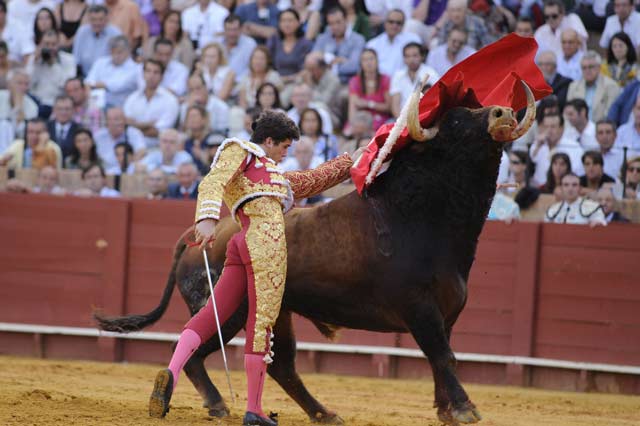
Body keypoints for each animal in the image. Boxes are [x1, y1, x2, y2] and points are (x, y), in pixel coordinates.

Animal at [95, 79, 536, 422]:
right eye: (457, 122)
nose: (502, 113)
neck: (417, 215)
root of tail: (198, 236)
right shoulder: (420, 309)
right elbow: (443, 356)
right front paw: (464, 409)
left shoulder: (446, 315)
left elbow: (439, 357)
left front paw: (446, 409)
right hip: (230, 307)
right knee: (200, 348)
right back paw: (213, 403)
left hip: (278, 310)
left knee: (278, 364)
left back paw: (321, 413)